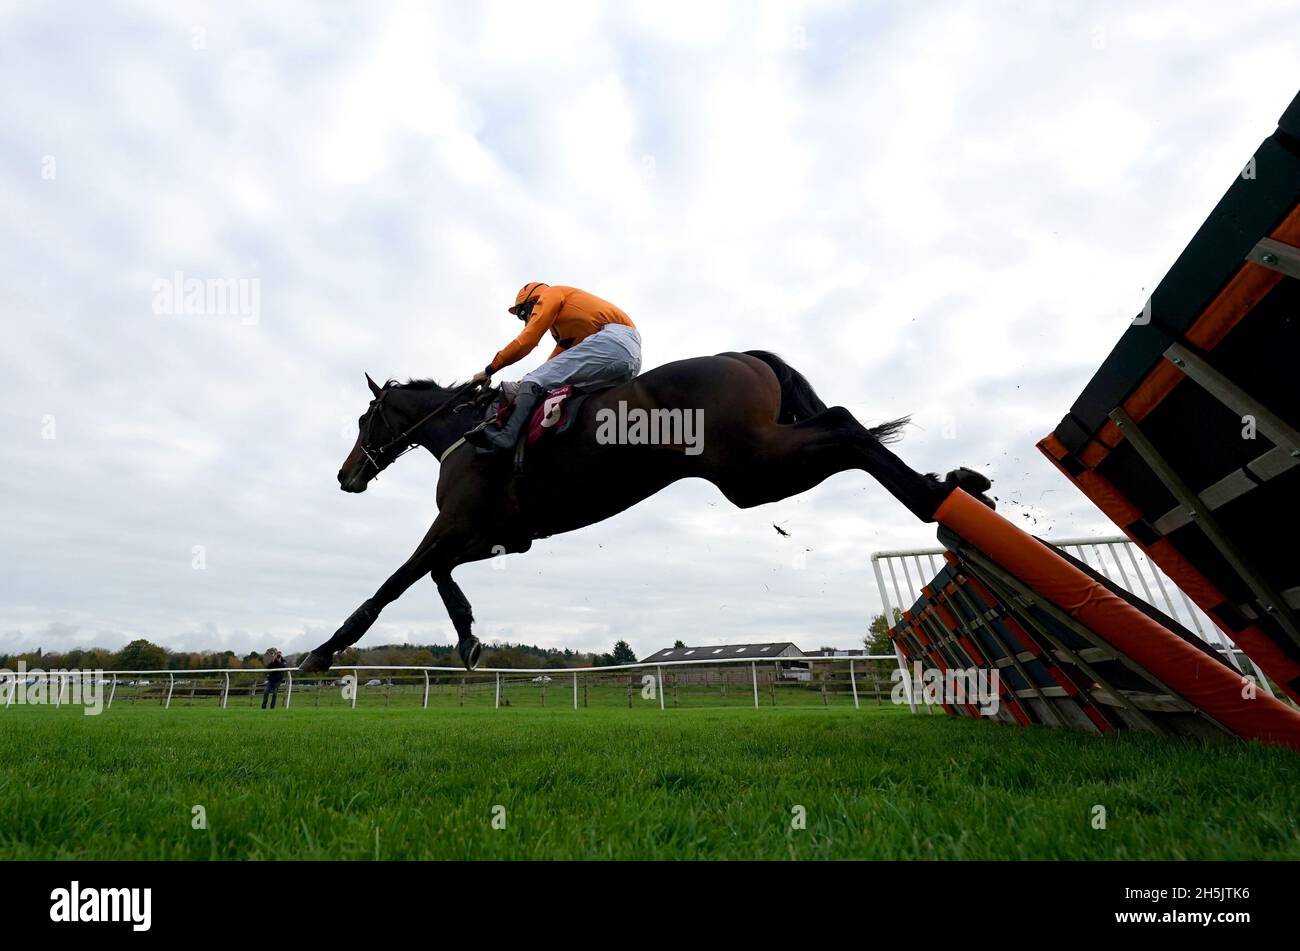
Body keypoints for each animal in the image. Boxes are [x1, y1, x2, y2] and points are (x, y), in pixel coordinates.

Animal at [301, 353, 993, 670]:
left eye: (364, 420)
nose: (345, 475)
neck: (465, 434)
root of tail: (747, 355)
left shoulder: (455, 524)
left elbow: (393, 584)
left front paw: (324, 652)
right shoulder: (498, 535)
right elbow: (441, 574)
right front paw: (469, 635)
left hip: (750, 468)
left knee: (846, 426)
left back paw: (937, 496)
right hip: (752, 474)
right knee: (846, 428)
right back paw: (957, 483)